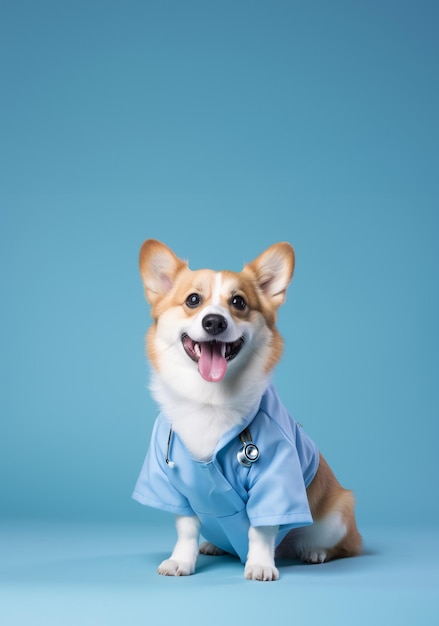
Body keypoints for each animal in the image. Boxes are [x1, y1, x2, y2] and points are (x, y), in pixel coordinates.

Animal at [132, 236, 362, 576]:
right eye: (193, 300)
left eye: (238, 302)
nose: (214, 321)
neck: (210, 398)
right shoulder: (172, 486)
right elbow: (186, 529)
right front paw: (181, 561)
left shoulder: (275, 479)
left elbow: (260, 531)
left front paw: (260, 565)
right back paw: (214, 545)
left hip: (337, 515)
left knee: (340, 546)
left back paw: (315, 552)